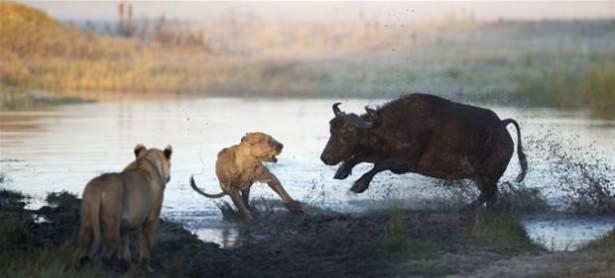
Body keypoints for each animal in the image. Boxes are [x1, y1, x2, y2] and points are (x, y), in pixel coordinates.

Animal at [320, 94, 528, 208]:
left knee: (488, 194)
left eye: (346, 132)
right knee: (490, 196)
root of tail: (502, 125)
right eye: (331, 129)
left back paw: (466, 208)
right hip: (479, 177)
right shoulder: (378, 152)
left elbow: (378, 166)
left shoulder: (403, 163)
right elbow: (359, 157)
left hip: (489, 176)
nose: (325, 158)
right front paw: (342, 171)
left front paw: (358, 185)